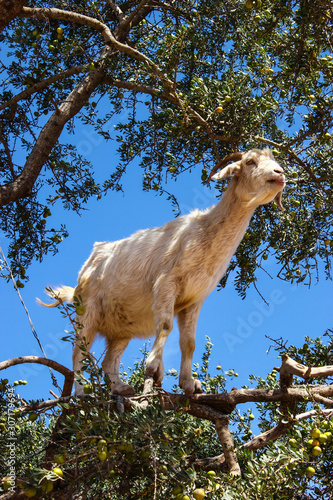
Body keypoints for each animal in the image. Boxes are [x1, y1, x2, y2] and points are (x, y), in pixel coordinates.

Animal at [38, 146, 282, 396]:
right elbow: (165, 325)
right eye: (250, 162)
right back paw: (81, 392)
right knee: (80, 350)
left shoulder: (195, 299)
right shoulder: (167, 282)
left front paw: (189, 383)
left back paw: (120, 388)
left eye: (274, 160)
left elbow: (189, 341)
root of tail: (88, 264)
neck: (204, 233)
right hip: (87, 310)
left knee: (109, 360)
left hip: (120, 329)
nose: (279, 173)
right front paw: (154, 369)